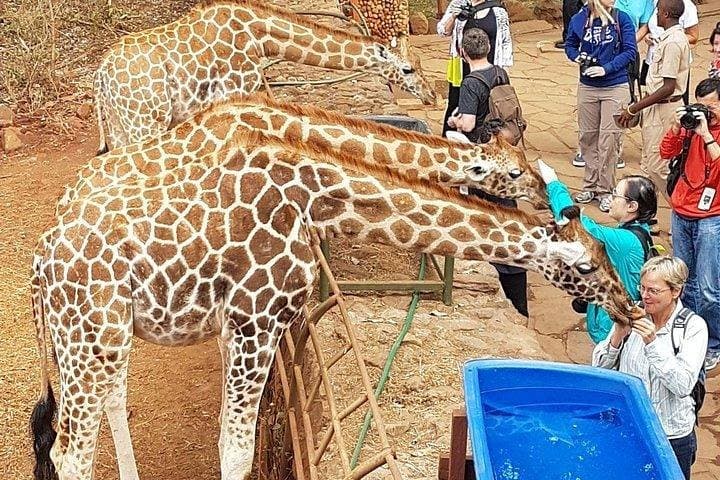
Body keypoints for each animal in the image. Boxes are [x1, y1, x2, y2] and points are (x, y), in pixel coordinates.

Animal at [30, 128, 640, 480]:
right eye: (588, 266)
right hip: (88, 337)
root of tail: (40, 264)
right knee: (69, 455)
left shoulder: (238, 327)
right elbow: (235, 451)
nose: (630, 308)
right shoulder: (255, 320)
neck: (313, 198)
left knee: (106, 409)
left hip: (101, 339)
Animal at [93, 0, 437, 154]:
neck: (260, 37)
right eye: (408, 69)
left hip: (119, 123)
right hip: (145, 120)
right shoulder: (235, 92)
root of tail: (100, 73)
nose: (432, 95)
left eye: (420, 65)